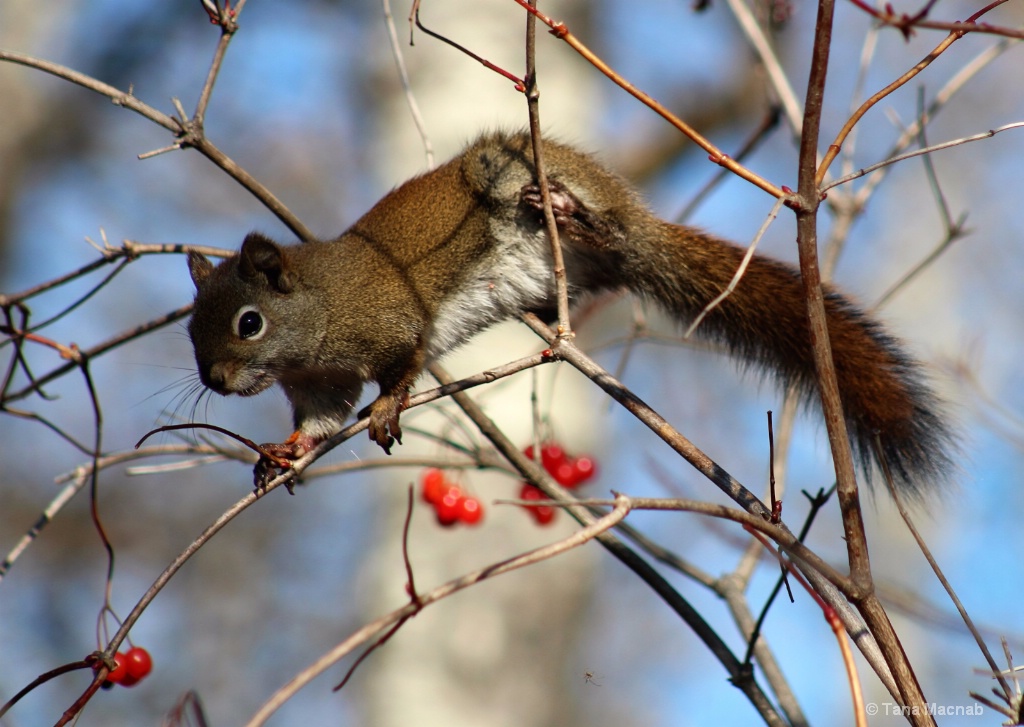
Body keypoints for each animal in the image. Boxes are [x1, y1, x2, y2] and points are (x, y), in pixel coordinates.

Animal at [188, 132, 954, 495]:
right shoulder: (322, 385)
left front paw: (386, 410)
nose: (216, 382)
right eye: (192, 328)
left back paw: (569, 211)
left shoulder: (389, 322)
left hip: (516, 175)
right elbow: (320, 422)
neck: (315, 322)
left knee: (607, 231)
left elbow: (404, 364)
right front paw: (283, 452)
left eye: (249, 322)